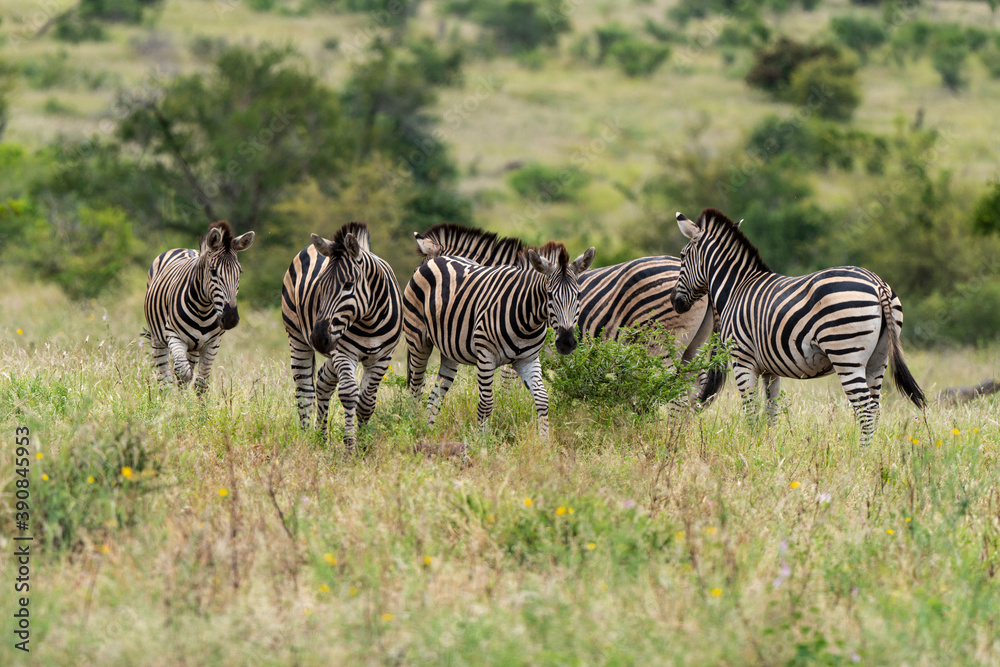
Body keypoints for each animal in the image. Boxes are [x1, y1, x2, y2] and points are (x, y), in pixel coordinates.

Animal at [144, 220, 255, 393]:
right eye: (213, 271)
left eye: (240, 272)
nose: (230, 318)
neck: (203, 310)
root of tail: (183, 248)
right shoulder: (174, 336)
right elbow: (183, 373)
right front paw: (179, 401)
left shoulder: (213, 343)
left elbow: (201, 382)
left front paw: (193, 402)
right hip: (158, 338)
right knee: (164, 375)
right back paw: (165, 398)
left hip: (194, 347)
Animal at [281, 222, 402, 450]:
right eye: (320, 286)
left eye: (348, 285)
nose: (318, 338)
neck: (370, 321)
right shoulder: (344, 352)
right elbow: (348, 394)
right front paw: (349, 446)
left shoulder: (382, 357)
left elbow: (367, 402)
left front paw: (363, 446)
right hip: (297, 337)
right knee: (305, 392)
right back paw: (305, 440)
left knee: (322, 381)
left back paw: (320, 439)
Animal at [403, 241, 595, 439]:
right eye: (549, 295)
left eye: (579, 295)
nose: (566, 342)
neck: (527, 318)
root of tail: (437, 259)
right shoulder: (486, 357)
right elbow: (487, 404)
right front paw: (482, 441)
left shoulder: (528, 359)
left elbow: (542, 399)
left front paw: (544, 441)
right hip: (418, 340)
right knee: (416, 388)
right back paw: (414, 428)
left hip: (449, 350)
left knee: (436, 395)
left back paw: (428, 432)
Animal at [413, 223, 724, 405]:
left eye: (426, 277)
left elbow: (508, 388)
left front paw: (510, 412)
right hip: (694, 347)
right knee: (691, 393)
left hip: (660, 346)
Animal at [672, 208, 925, 443]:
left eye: (682, 256)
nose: (676, 303)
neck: (736, 287)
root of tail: (878, 283)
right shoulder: (769, 369)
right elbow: (771, 411)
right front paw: (768, 445)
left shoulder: (741, 360)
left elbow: (751, 411)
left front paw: (751, 444)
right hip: (878, 359)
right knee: (876, 408)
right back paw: (869, 452)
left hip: (847, 355)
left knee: (866, 410)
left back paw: (860, 454)